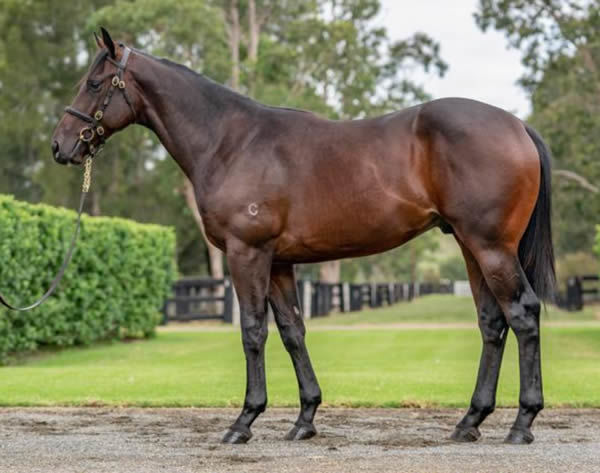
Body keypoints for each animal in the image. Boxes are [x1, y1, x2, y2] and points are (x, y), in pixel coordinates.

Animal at [50, 28, 552, 442]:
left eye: (93, 84)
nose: (60, 146)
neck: (231, 142)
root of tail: (517, 125)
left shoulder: (246, 253)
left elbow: (253, 331)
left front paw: (244, 421)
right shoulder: (279, 262)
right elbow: (293, 330)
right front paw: (305, 419)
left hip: (491, 248)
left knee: (523, 315)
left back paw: (522, 423)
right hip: (471, 247)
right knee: (492, 323)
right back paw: (470, 421)